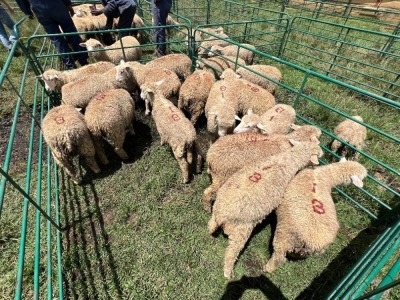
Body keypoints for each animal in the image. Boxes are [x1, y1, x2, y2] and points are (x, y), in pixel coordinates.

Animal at [208, 138, 324, 278]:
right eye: (318, 151)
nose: (322, 153)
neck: (288, 160)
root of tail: (222, 214)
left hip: (217, 212)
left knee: (210, 225)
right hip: (242, 230)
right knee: (231, 252)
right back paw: (228, 273)